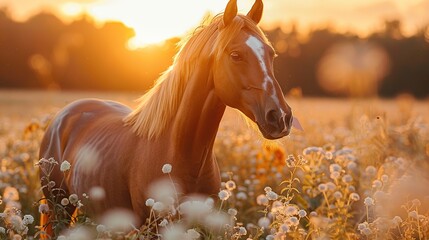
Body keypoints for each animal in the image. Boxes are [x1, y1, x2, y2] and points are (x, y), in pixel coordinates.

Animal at [39, 0, 294, 234]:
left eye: (271, 54)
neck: (181, 152)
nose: (280, 117)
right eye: (235, 55)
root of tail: (66, 115)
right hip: (59, 208)